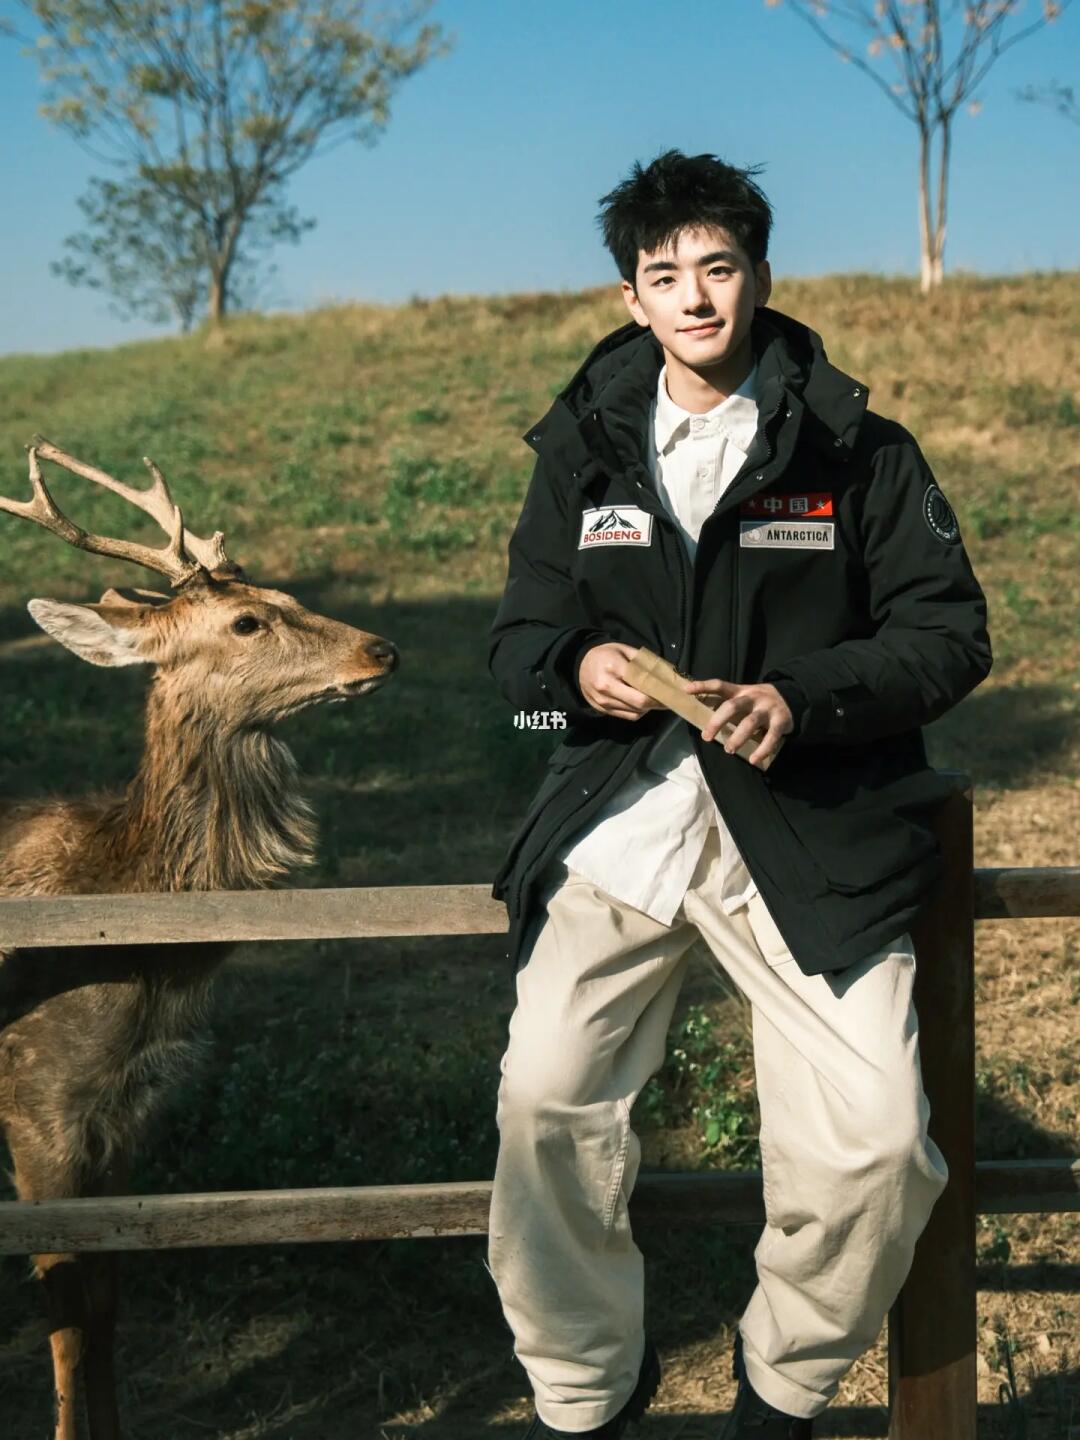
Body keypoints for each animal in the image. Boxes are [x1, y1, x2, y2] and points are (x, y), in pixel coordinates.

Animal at [0, 437, 398, 1440]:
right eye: (248, 621)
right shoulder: (34, 1103)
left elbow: (107, 1300)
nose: (381, 648)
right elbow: (64, 1310)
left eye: (288, 593)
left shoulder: (126, 1116)